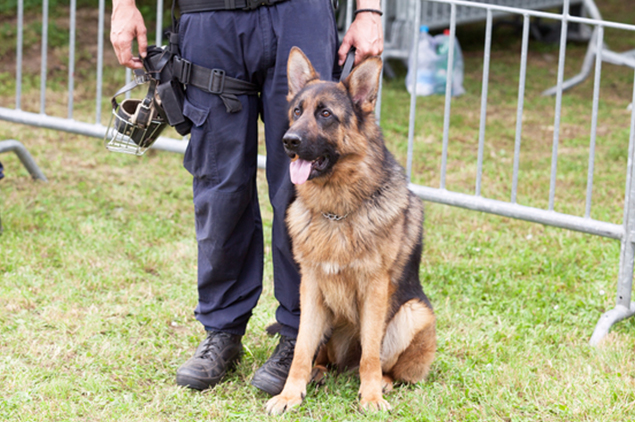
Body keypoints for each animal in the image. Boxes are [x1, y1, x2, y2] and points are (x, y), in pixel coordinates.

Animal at [264, 47, 438, 414]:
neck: (337, 212)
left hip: (413, 314)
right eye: (297, 111)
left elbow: (371, 353)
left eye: (326, 114)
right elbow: (301, 348)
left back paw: (384, 382)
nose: (289, 141)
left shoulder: (375, 290)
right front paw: (290, 394)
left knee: (385, 363)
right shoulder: (311, 288)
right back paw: (319, 371)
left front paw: (370, 396)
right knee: (321, 355)